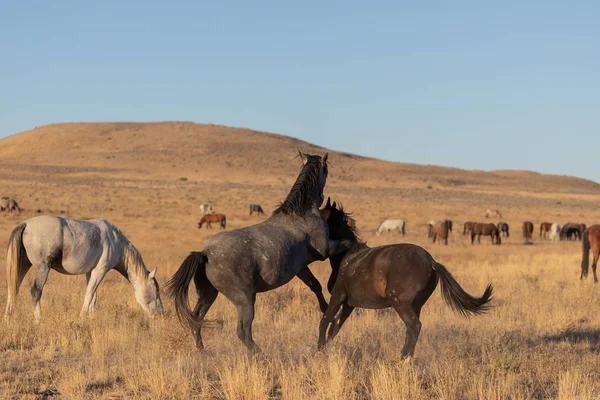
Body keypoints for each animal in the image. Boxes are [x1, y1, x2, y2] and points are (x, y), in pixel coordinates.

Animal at [5, 216, 164, 322]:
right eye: (156, 290)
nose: (162, 313)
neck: (116, 242)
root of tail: (26, 224)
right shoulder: (100, 271)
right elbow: (89, 294)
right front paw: (82, 318)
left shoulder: (90, 272)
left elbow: (94, 296)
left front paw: (91, 317)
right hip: (42, 268)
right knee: (36, 291)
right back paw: (39, 320)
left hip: (23, 266)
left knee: (13, 288)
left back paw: (7, 317)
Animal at [165, 152, 352, 352]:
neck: (302, 213)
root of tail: (204, 253)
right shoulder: (325, 250)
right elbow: (346, 244)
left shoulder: (301, 268)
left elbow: (314, 285)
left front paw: (327, 310)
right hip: (245, 299)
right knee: (242, 331)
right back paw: (261, 355)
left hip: (208, 294)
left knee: (196, 319)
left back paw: (203, 351)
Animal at [318, 200, 492, 360]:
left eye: (321, 214)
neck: (347, 256)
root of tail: (431, 262)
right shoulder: (349, 304)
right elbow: (335, 326)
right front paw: (327, 349)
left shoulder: (338, 295)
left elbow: (325, 320)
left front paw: (319, 349)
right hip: (416, 304)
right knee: (411, 328)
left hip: (400, 303)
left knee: (414, 326)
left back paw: (404, 358)